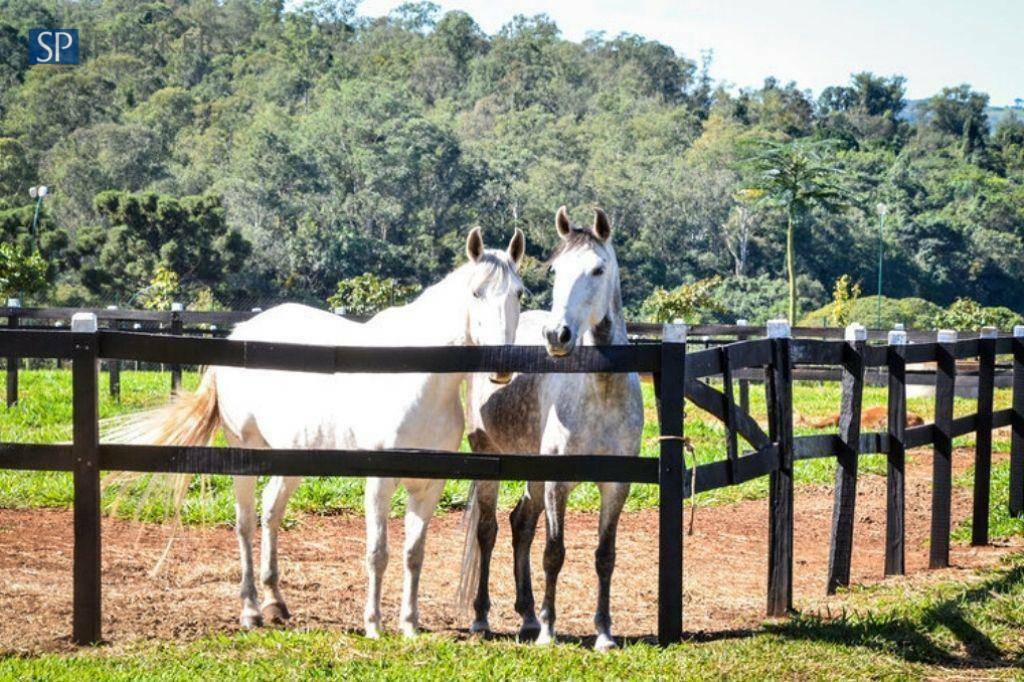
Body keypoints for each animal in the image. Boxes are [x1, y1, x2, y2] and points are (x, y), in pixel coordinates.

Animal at [122, 227, 524, 630]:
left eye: (519, 293)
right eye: (476, 292)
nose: (503, 363)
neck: (418, 376)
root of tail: (239, 335)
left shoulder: (429, 486)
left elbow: (414, 553)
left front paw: (409, 624)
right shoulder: (379, 481)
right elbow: (378, 552)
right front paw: (373, 624)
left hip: (291, 456)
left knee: (271, 509)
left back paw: (275, 602)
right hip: (245, 454)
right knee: (245, 522)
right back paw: (251, 609)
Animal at [462, 205, 638, 647]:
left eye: (597, 269)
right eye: (556, 270)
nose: (557, 335)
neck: (601, 391)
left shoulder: (618, 485)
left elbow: (605, 556)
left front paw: (604, 632)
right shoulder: (559, 482)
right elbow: (554, 553)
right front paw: (549, 631)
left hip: (533, 470)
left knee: (521, 524)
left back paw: (526, 616)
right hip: (489, 459)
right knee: (488, 530)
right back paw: (482, 618)